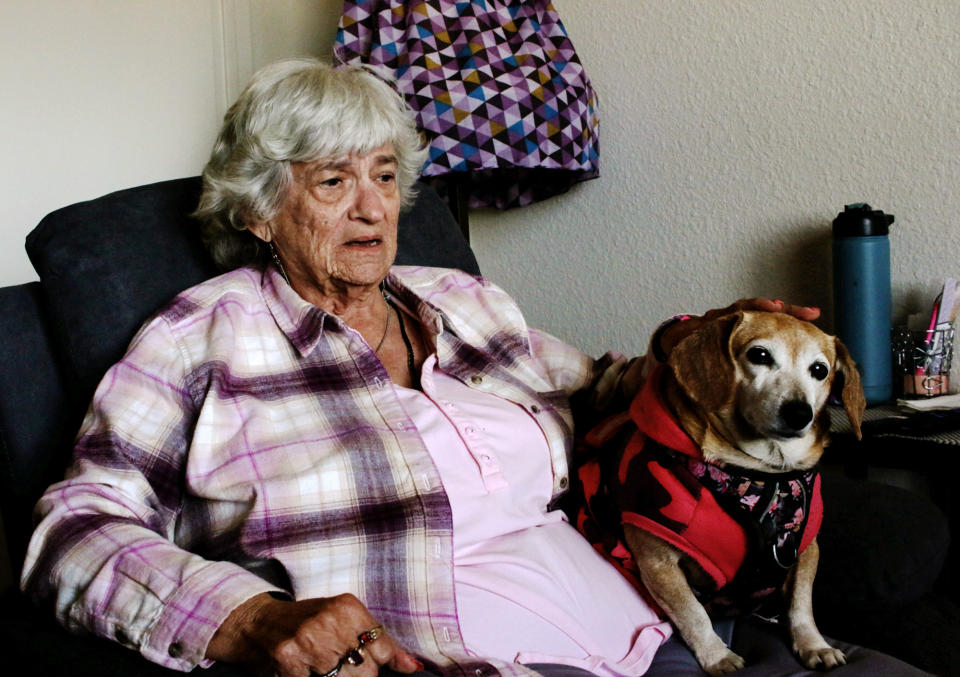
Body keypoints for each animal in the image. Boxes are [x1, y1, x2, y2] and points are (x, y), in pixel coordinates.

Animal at [572, 312, 868, 672]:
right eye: (759, 355)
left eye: (820, 370)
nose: (800, 413)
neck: (762, 474)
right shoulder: (658, 562)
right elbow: (692, 613)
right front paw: (717, 656)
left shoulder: (806, 550)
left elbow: (801, 605)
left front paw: (814, 644)